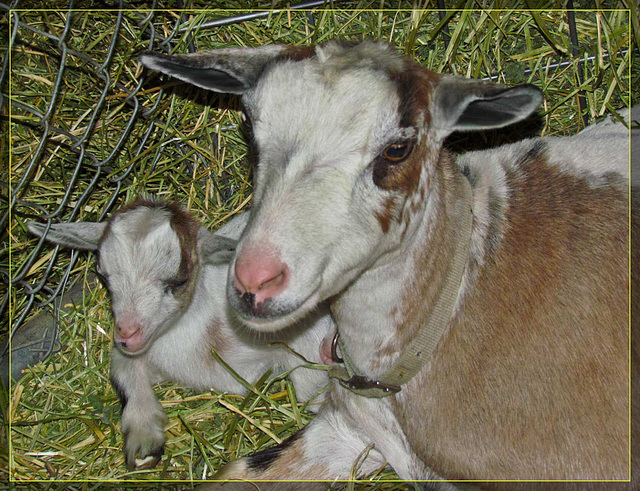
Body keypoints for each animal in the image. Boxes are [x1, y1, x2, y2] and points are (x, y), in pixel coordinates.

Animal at [28, 200, 332, 472]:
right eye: (103, 276)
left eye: (178, 280)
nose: (127, 335)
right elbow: (123, 369)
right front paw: (143, 441)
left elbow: (310, 391)